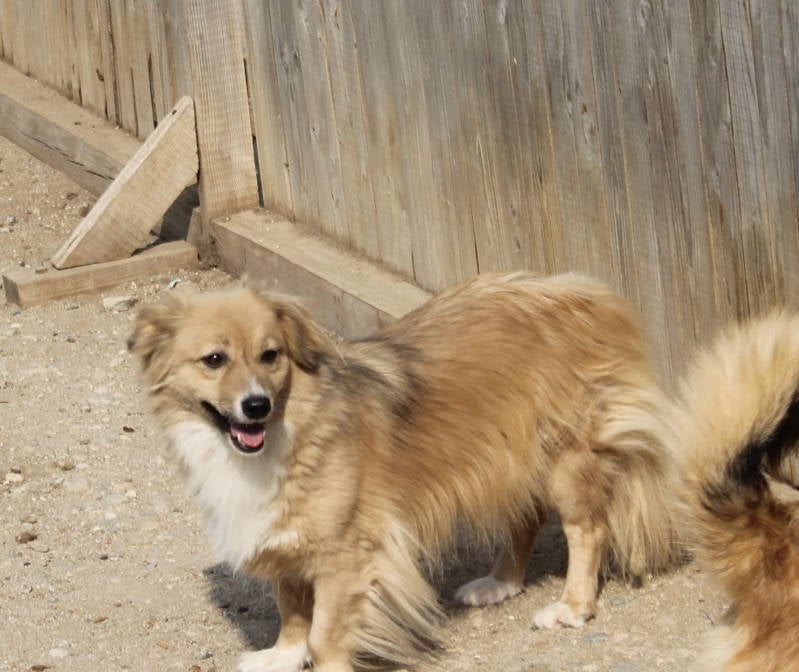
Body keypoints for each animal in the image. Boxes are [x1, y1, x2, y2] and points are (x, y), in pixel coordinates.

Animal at [128, 271, 677, 672]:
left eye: (270, 355)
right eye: (214, 360)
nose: (256, 405)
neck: (282, 435)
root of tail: (577, 292)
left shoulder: (345, 556)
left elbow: (325, 633)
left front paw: (320, 662)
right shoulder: (283, 536)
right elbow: (291, 607)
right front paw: (284, 655)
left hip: (565, 460)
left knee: (588, 530)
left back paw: (573, 605)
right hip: (507, 460)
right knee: (524, 519)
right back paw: (500, 582)